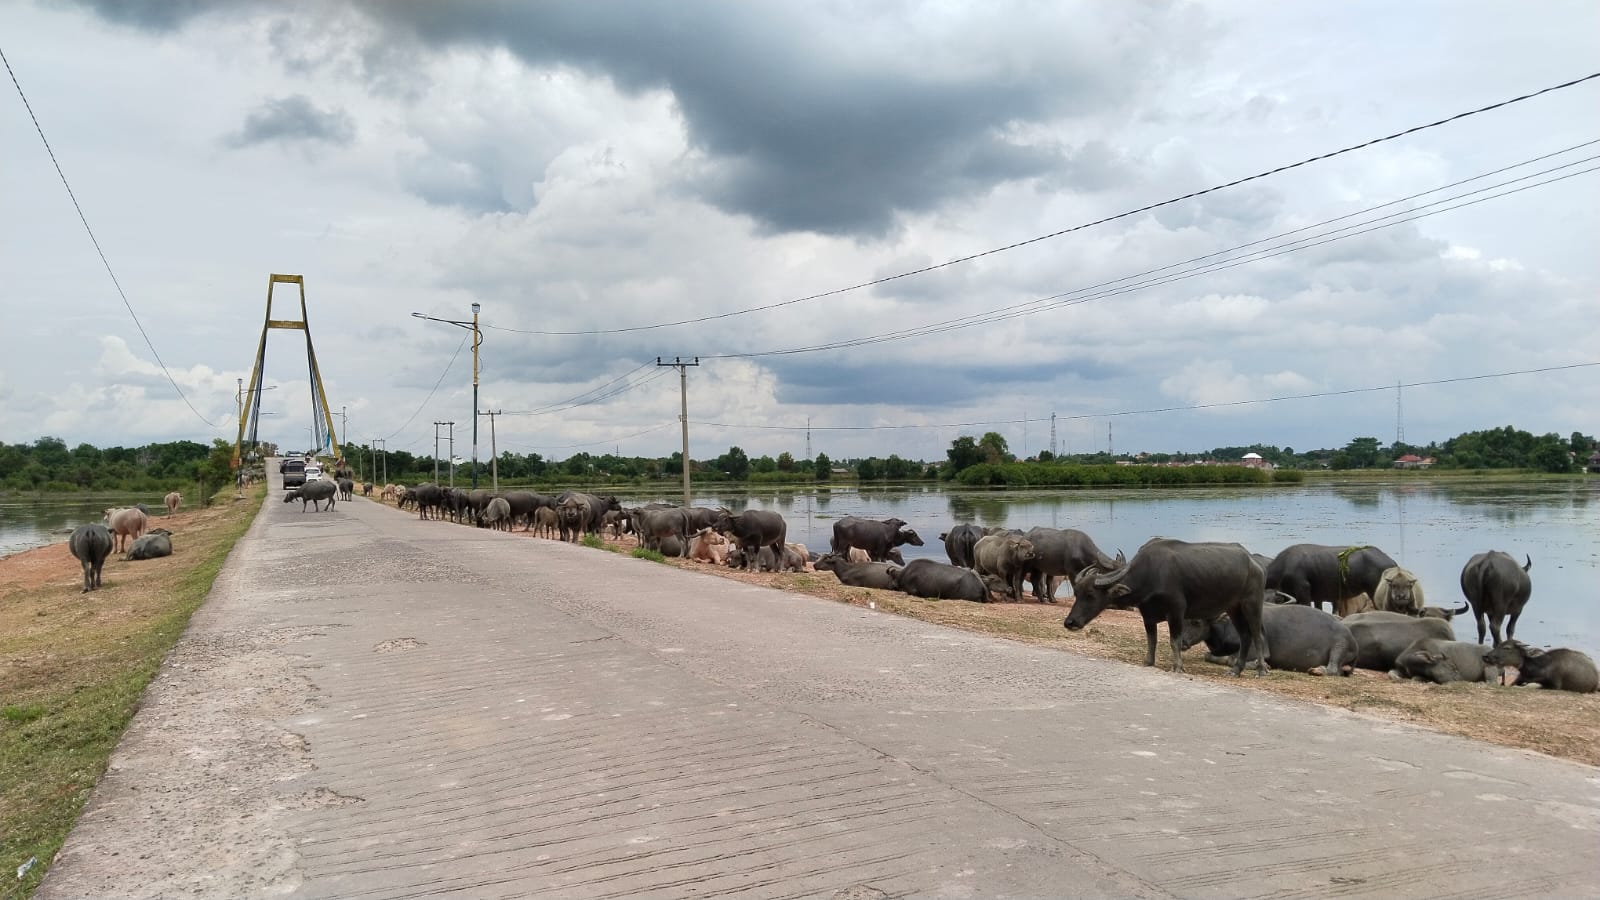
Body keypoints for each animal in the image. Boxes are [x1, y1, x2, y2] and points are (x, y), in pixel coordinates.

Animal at [1184, 595, 1356, 672]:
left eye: (1196, 622)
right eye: (1184, 618)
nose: (1182, 642)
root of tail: (1353, 642)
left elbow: (1233, 659)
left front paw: (1259, 664)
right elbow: (1208, 655)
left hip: (1339, 645)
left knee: (1333, 668)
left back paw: (1317, 670)